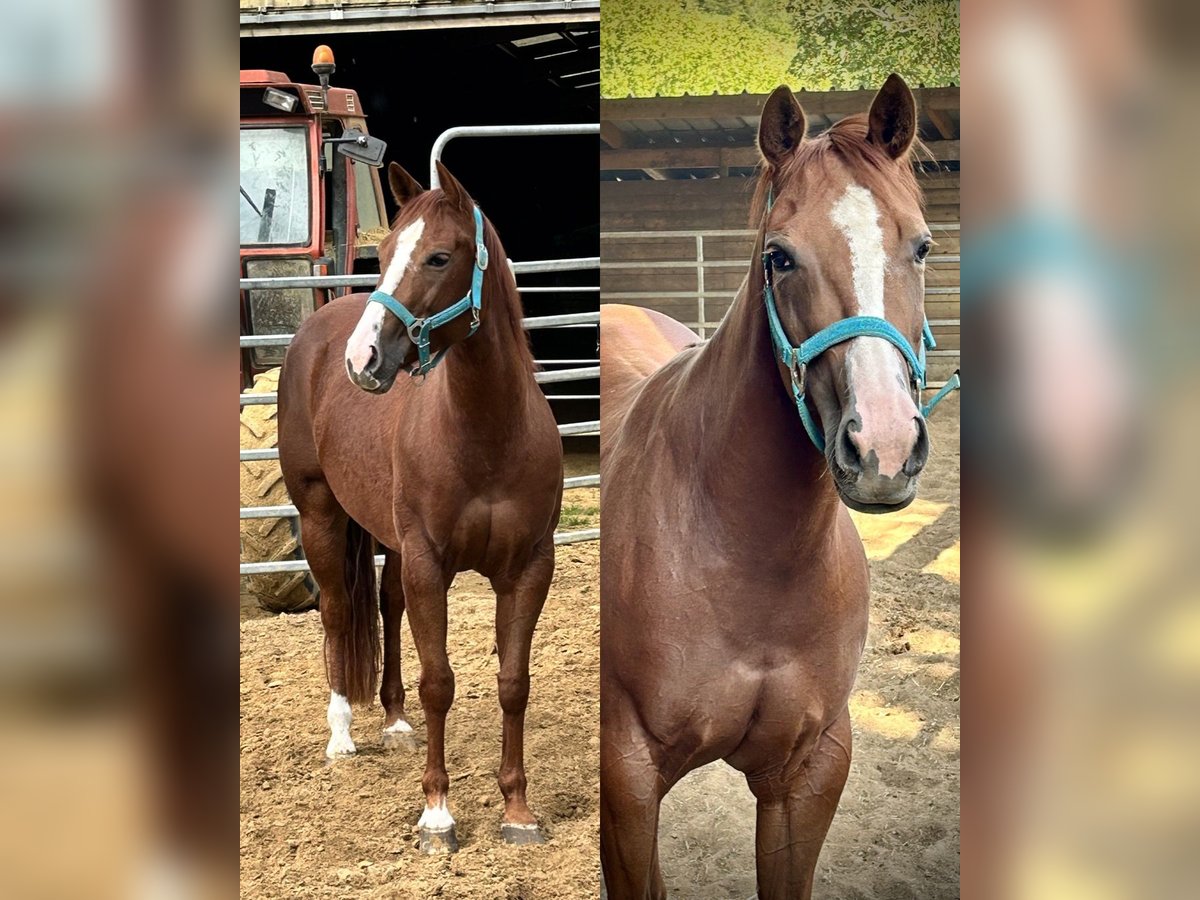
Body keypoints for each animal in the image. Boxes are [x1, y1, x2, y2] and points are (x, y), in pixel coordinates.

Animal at [278, 160, 564, 854]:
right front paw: (437, 814)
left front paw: (518, 810)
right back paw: (342, 736)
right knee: (335, 611)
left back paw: (395, 722)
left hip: (388, 539)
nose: (363, 360)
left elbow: (512, 682)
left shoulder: (529, 569)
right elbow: (441, 682)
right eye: (381, 255)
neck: (486, 433)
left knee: (386, 604)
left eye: (438, 257)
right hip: (321, 514)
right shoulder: (430, 563)